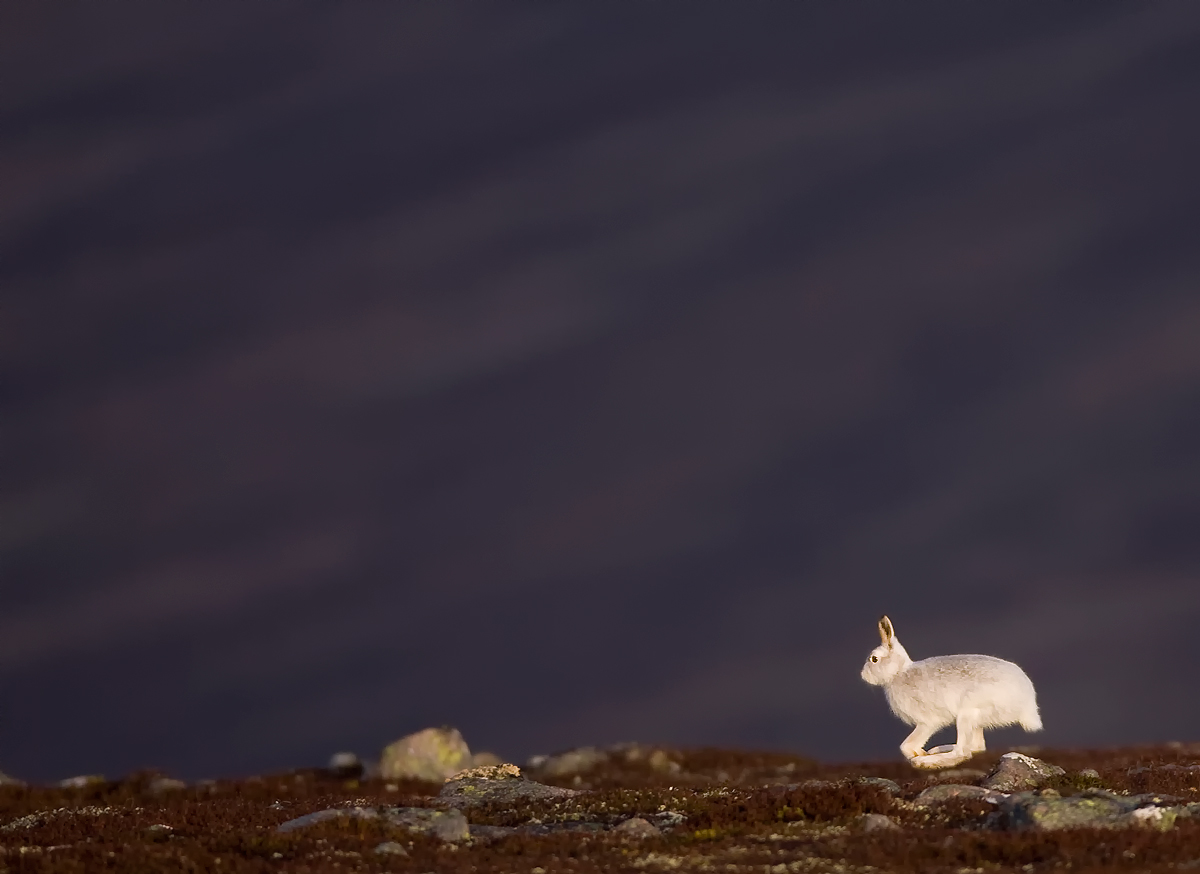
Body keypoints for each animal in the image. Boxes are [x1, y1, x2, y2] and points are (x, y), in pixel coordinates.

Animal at [860, 615, 1042, 769]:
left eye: (874, 659)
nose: (863, 675)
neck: (898, 672)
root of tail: (1028, 705)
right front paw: (921, 752)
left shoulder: (927, 722)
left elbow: (907, 744)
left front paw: (918, 755)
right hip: (976, 721)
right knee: (977, 747)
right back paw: (937, 750)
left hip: (967, 714)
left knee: (963, 752)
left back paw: (927, 761)